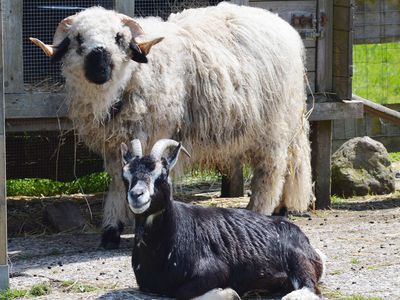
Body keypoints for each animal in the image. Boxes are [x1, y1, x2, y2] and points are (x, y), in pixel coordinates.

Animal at [31, 1, 312, 248]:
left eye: (119, 38)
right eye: (78, 39)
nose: (100, 68)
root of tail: (283, 26)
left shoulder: (158, 132)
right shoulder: (114, 145)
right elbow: (118, 182)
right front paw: (111, 230)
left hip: (273, 126)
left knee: (271, 170)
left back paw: (259, 210)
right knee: (289, 164)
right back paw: (281, 208)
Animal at [119, 139, 324, 298]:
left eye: (162, 175)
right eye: (125, 176)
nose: (137, 195)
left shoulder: (216, 270)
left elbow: (180, 292)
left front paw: (229, 293)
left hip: (297, 258)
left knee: (310, 289)